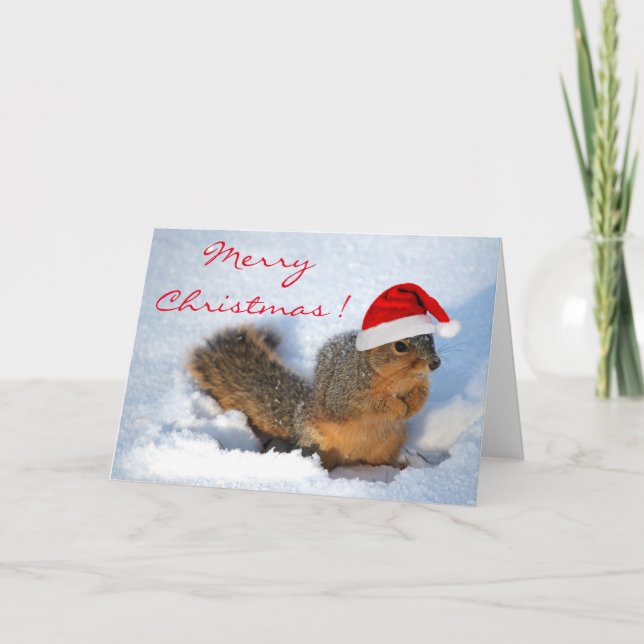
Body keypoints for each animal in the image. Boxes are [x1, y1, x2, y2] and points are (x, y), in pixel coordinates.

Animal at [186, 325, 441, 470]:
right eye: (400, 346)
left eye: (430, 338)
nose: (435, 363)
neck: (398, 380)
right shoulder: (344, 392)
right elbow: (368, 404)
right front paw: (398, 407)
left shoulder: (419, 383)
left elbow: (422, 394)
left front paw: (411, 406)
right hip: (317, 442)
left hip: (388, 444)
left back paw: (401, 466)